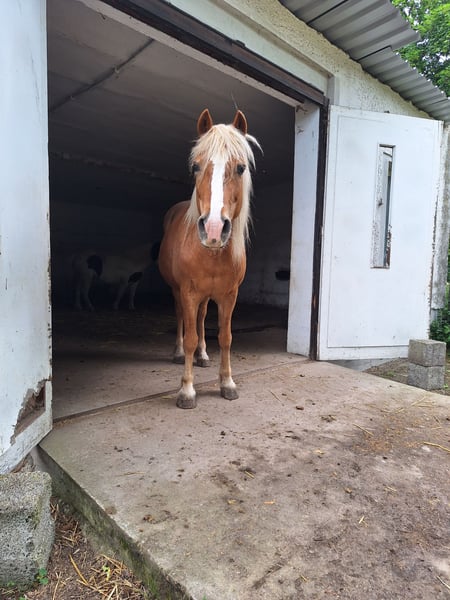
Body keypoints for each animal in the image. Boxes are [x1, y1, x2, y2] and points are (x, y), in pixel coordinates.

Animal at [158, 108, 261, 409]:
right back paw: (179, 352)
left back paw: (203, 356)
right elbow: (191, 336)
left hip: (205, 297)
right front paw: (187, 390)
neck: (212, 253)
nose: (214, 229)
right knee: (182, 318)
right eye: (196, 166)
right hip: (178, 291)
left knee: (203, 318)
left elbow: (225, 337)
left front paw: (227, 383)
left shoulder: (229, 295)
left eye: (241, 168)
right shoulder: (188, 292)